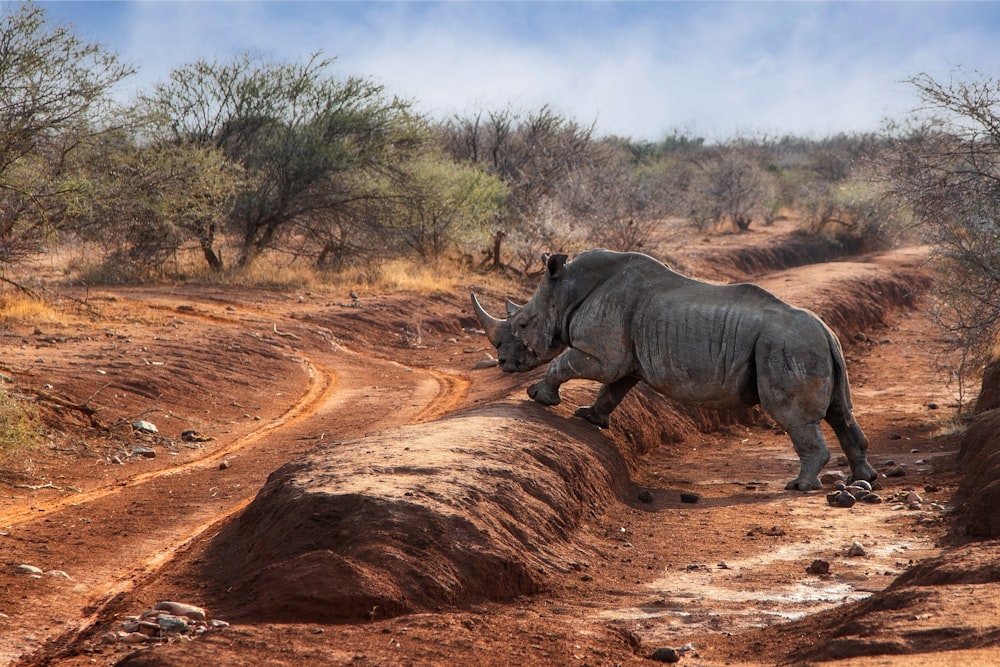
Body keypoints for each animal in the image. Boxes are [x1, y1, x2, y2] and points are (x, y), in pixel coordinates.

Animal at [468, 250, 876, 490]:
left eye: (523, 324)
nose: (503, 363)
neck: (567, 290)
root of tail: (827, 333)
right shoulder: (626, 357)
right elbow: (612, 389)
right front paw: (589, 417)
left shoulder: (604, 352)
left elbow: (565, 362)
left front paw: (539, 398)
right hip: (816, 349)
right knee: (841, 412)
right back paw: (863, 479)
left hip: (788, 347)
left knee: (794, 418)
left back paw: (799, 487)